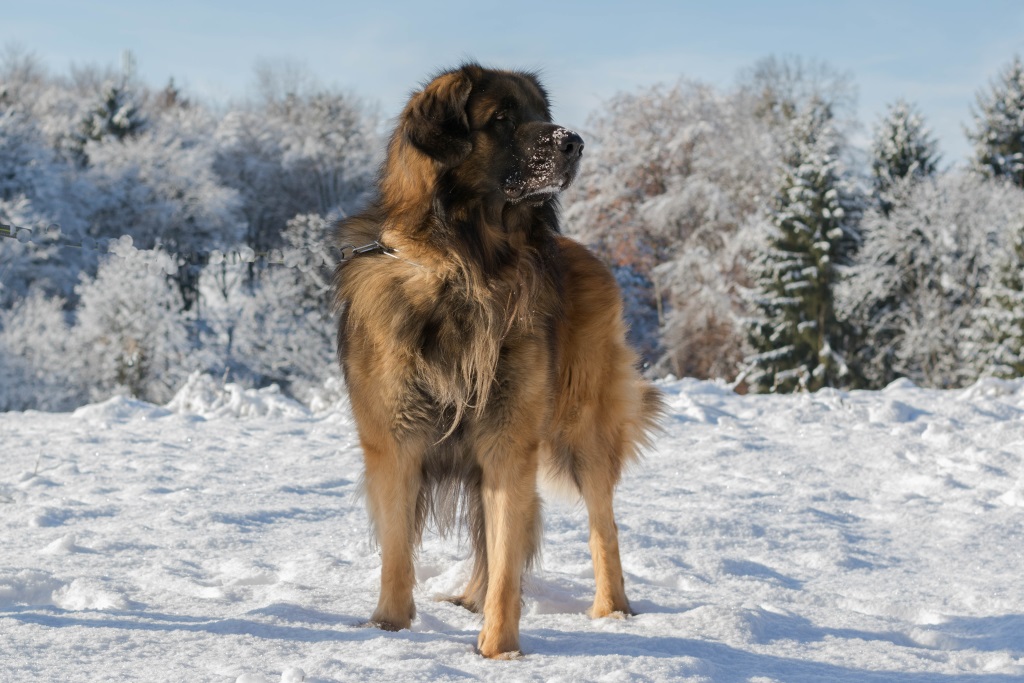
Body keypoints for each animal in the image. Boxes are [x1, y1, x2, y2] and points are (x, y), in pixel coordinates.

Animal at [331, 65, 659, 663]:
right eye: (502, 118)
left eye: (541, 114)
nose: (574, 142)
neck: (465, 266)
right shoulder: (394, 443)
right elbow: (398, 552)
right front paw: (389, 630)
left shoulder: (509, 442)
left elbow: (508, 559)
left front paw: (499, 651)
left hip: (583, 433)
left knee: (603, 526)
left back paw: (613, 611)